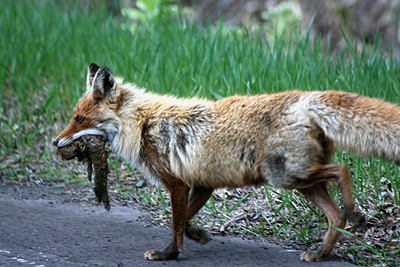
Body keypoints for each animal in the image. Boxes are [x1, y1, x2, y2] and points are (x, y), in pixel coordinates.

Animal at [53, 63, 400, 262]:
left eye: (79, 119)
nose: (55, 142)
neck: (143, 124)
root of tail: (306, 98)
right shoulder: (202, 184)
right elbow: (182, 221)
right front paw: (198, 235)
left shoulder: (177, 183)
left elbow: (175, 225)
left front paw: (169, 254)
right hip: (300, 181)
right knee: (334, 215)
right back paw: (321, 253)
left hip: (287, 176)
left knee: (342, 171)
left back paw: (355, 214)